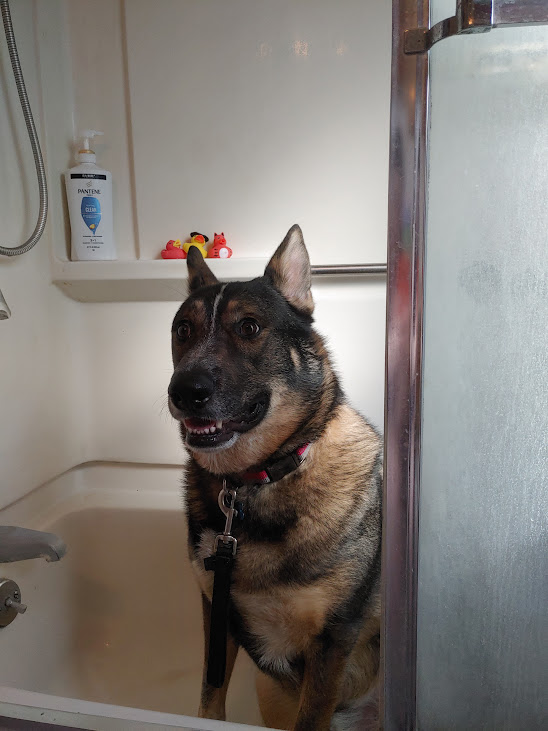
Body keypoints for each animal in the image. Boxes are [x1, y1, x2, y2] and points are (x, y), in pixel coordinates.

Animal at [167, 226, 382, 728]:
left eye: (248, 327)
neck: (254, 483)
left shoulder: (332, 640)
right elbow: (209, 693)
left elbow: (312, 716)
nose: (183, 392)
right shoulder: (217, 612)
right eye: (182, 331)